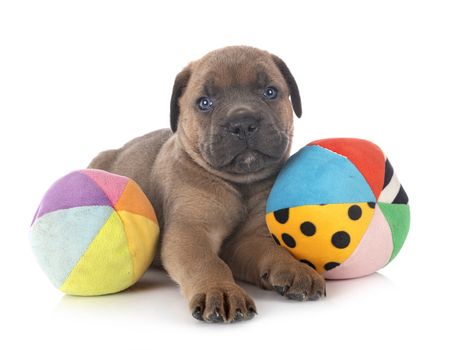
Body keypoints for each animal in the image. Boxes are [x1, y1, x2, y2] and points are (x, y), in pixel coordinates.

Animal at [89, 45, 324, 322]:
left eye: (270, 92)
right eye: (205, 103)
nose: (242, 123)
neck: (240, 185)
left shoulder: (248, 239)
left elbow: (273, 251)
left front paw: (296, 268)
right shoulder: (190, 232)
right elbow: (209, 263)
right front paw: (220, 290)